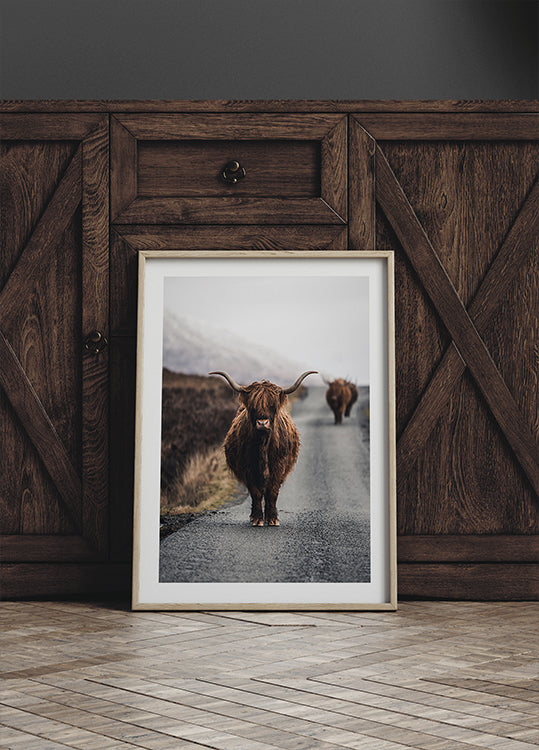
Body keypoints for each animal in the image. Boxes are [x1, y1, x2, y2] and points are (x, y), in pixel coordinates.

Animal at [209, 370, 316, 526]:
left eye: (272, 406)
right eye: (253, 406)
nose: (262, 423)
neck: (263, 444)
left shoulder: (278, 467)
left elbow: (272, 492)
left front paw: (272, 519)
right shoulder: (247, 468)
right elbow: (256, 493)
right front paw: (257, 519)